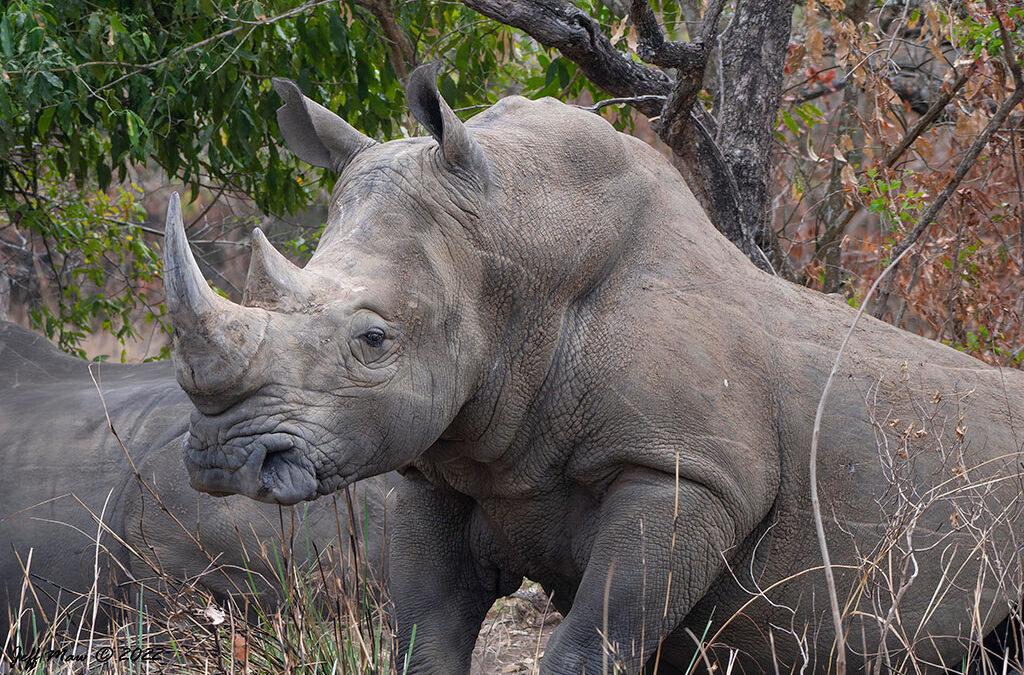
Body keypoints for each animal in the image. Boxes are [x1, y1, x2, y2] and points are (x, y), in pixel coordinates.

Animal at [161, 64, 1024, 672]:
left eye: (373, 340)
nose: (220, 459)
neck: (514, 256)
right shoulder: (439, 470)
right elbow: (424, 640)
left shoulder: (687, 470)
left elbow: (591, 642)